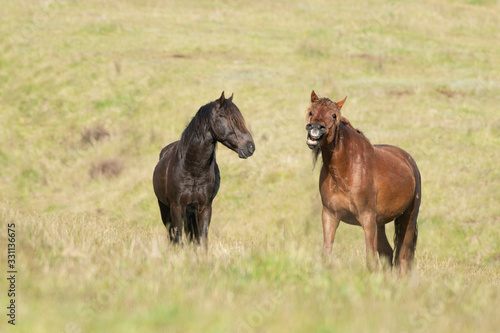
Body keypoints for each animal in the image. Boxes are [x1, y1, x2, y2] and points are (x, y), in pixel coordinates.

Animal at [151, 92, 254, 248]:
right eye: (228, 117)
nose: (250, 147)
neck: (193, 170)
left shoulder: (205, 207)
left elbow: (202, 238)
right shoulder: (176, 207)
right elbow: (178, 238)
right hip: (165, 208)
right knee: (172, 234)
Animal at [306, 91, 420, 272]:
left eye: (334, 115)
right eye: (311, 112)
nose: (315, 129)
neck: (345, 171)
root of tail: (407, 159)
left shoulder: (367, 218)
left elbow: (371, 261)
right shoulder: (330, 215)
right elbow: (327, 255)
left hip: (407, 218)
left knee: (403, 257)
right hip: (380, 224)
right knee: (388, 252)